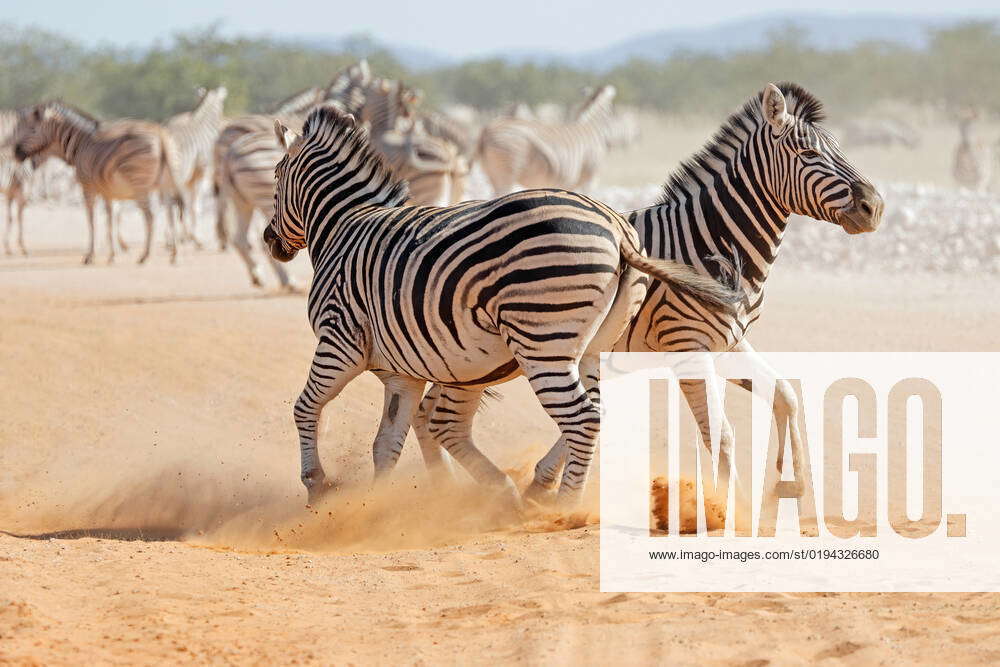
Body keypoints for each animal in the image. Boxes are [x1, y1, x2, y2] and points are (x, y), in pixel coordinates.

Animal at [13, 102, 183, 264]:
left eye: (32, 130)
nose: (15, 153)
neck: (79, 145)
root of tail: (159, 134)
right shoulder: (107, 191)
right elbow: (109, 220)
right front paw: (111, 255)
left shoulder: (87, 187)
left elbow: (91, 220)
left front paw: (89, 256)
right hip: (165, 183)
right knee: (170, 212)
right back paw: (174, 254)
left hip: (139, 184)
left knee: (150, 216)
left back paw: (144, 256)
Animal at [262, 104, 740, 506]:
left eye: (276, 175)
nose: (269, 240)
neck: (344, 225)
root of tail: (617, 229)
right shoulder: (403, 371)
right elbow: (386, 445)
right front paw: (375, 507)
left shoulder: (339, 340)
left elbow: (306, 407)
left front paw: (317, 485)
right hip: (590, 346)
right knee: (588, 413)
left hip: (542, 342)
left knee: (582, 419)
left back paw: (565, 509)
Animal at [410, 82, 880, 506]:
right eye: (809, 155)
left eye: (841, 150)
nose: (874, 207)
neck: (713, 244)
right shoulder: (688, 345)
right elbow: (719, 432)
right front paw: (735, 510)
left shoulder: (727, 343)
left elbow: (784, 394)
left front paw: (794, 492)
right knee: (431, 413)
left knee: (427, 412)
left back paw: (449, 494)